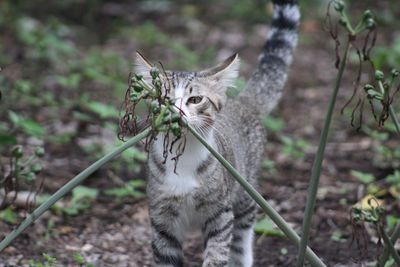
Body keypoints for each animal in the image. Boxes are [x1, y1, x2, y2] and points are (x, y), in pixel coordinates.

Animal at [135, 1, 300, 266]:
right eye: (162, 99)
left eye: (195, 99)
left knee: (242, 239)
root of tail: (242, 102)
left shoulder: (220, 213)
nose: (176, 112)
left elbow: (217, 253)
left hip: (245, 192)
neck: (183, 158)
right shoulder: (161, 218)